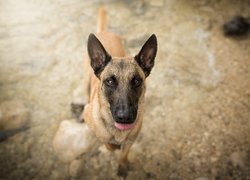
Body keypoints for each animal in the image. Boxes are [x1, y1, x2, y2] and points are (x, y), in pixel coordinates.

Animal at [81, 7, 157, 176]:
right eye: (110, 81)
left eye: (136, 81)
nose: (125, 117)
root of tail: (104, 32)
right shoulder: (96, 127)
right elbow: (108, 144)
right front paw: (112, 145)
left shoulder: (131, 140)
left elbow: (124, 153)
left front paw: (122, 167)